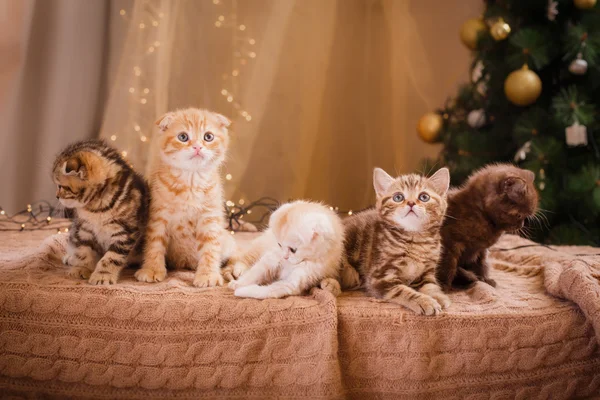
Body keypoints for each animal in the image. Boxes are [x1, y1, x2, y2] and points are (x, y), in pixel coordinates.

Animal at [52, 140, 149, 284]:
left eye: (61, 186)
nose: (57, 196)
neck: (95, 208)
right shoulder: (84, 228)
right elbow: (83, 250)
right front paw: (82, 268)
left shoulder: (125, 232)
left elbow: (112, 257)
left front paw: (103, 275)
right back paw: (71, 258)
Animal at [135, 108, 234, 286]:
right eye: (183, 137)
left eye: (208, 137)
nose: (197, 147)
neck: (191, 181)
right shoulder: (158, 215)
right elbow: (154, 244)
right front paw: (152, 269)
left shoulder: (210, 217)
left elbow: (210, 247)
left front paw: (208, 274)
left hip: (228, 241)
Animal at [340, 166, 452, 316]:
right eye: (398, 197)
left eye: (424, 197)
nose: (411, 203)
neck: (416, 240)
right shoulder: (379, 277)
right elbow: (404, 291)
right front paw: (425, 302)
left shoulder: (427, 273)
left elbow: (430, 285)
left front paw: (438, 296)